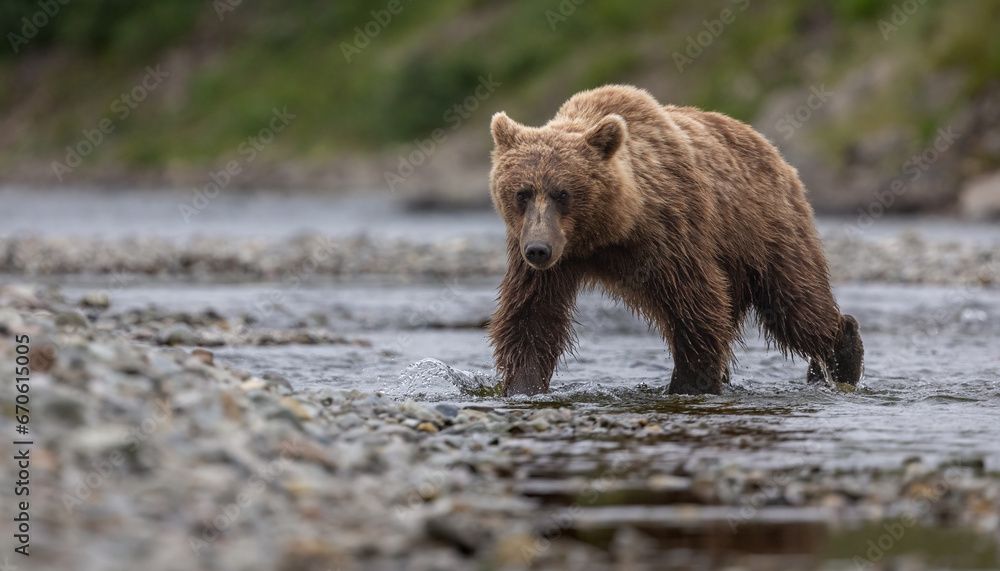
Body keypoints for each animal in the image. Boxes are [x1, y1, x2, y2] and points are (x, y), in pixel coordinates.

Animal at [487, 84, 863, 396]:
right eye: (521, 193)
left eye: (563, 193)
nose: (539, 250)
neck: (610, 231)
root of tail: (771, 149)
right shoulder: (543, 254)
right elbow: (532, 315)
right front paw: (523, 386)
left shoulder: (671, 234)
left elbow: (695, 305)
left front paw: (689, 384)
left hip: (765, 230)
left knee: (794, 303)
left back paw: (841, 352)